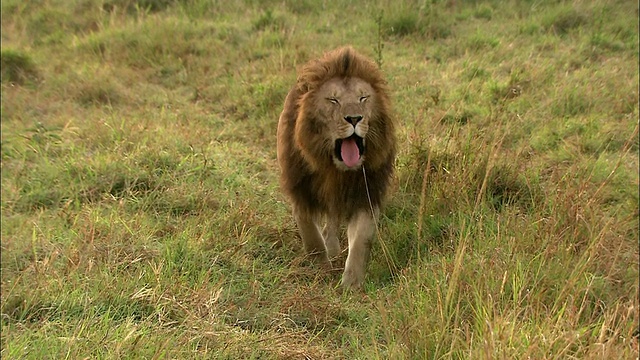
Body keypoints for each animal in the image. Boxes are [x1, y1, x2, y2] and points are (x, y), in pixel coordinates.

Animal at [278, 45, 398, 290]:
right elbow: (310, 233)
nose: (354, 118)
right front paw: (320, 266)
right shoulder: (300, 190)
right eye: (333, 100)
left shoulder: (365, 193)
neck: (336, 170)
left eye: (363, 97)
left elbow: (361, 239)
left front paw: (351, 284)